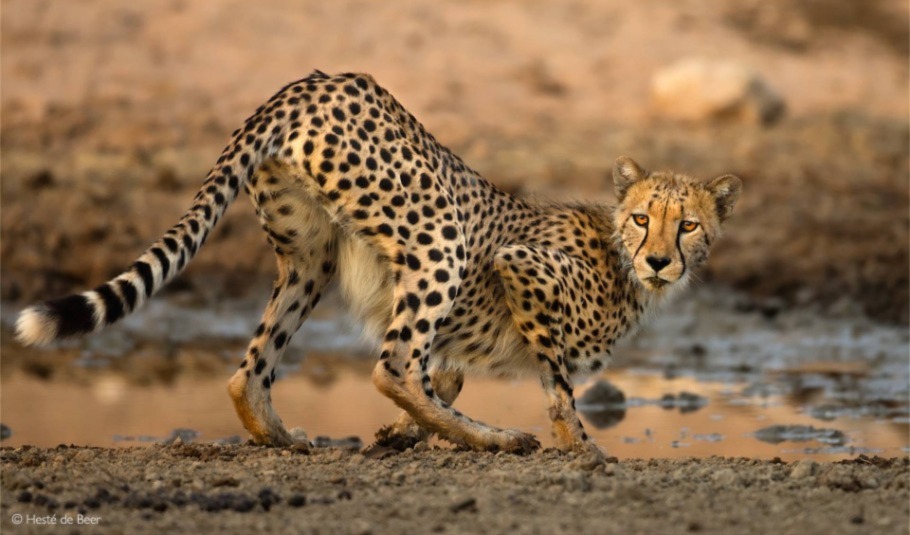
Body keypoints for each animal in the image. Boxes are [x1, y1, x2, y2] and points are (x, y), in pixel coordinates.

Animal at [16, 71, 740, 456]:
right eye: (644, 218)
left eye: (689, 225)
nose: (659, 261)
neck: (621, 262)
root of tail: (312, 83)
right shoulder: (521, 264)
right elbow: (557, 386)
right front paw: (584, 450)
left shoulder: (460, 345)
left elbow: (446, 376)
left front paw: (397, 437)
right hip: (439, 238)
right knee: (391, 365)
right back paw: (496, 439)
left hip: (309, 260)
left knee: (250, 371)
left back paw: (283, 437)